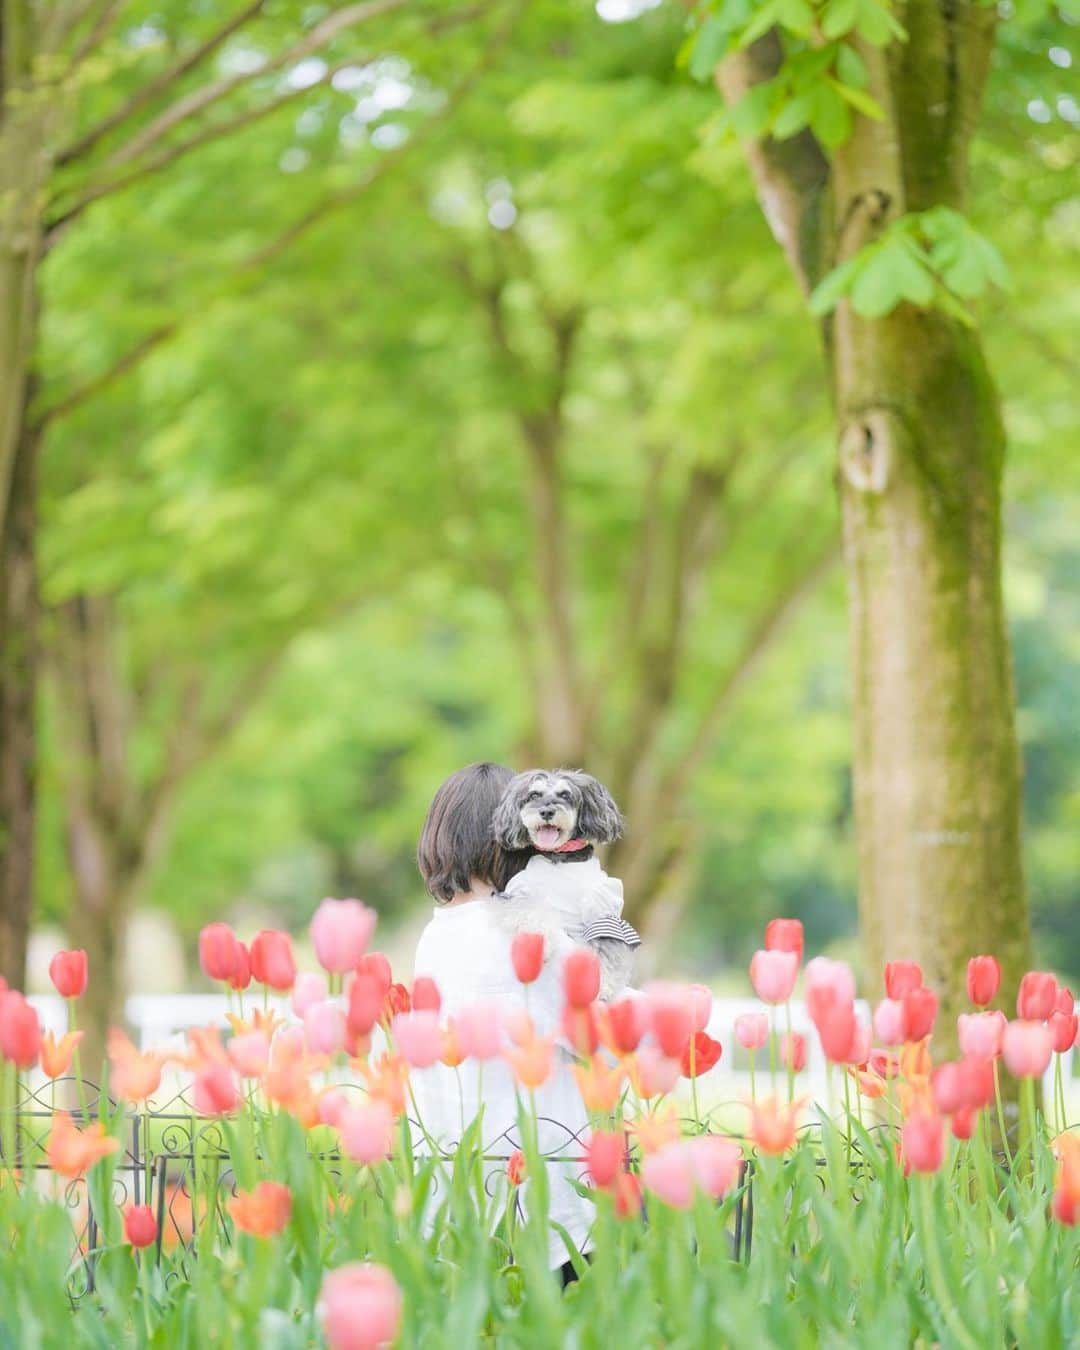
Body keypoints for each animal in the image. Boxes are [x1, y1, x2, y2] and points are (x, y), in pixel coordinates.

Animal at [491, 772, 637, 1004]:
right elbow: (532, 914)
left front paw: (601, 984)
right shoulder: (520, 894)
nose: (546, 811)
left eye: (565, 795)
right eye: (534, 794)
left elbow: (605, 951)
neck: (559, 858)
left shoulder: (603, 910)